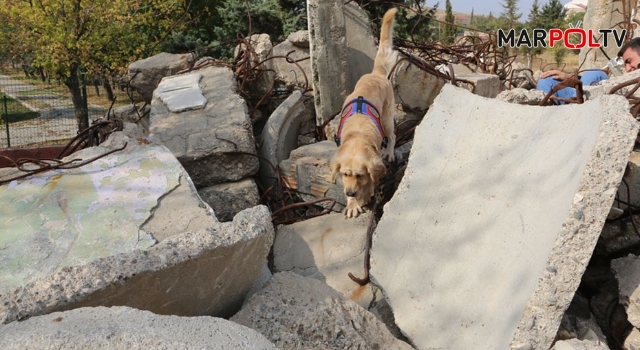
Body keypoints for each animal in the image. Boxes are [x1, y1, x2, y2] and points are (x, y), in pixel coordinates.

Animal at [330, 6, 396, 217]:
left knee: (392, 137)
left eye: (359, 175)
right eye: (345, 174)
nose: (350, 192)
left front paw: (364, 195)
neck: (358, 135)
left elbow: (371, 181)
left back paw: (390, 152)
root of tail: (376, 74)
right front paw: (352, 204)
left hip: (387, 119)